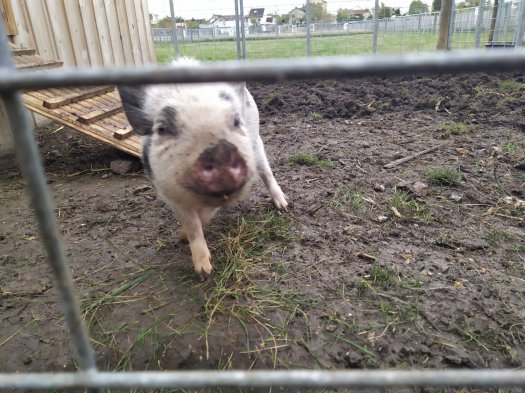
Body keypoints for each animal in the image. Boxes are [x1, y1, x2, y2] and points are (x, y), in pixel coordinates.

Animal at [117, 57, 288, 278]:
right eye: (162, 128)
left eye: (236, 121)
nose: (220, 151)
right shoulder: (166, 192)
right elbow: (192, 225)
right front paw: (202, 270)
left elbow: (205, 216)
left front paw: (199, 266)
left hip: (256, 140)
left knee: (266, 172)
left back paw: (284, 207)